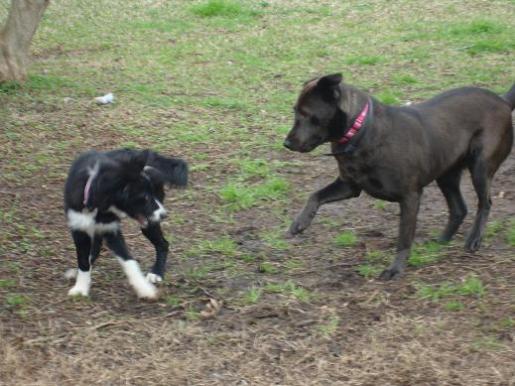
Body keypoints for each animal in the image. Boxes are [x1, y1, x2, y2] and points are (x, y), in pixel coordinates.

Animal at [62, 148, 187, 298]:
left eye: (151, 194)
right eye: (145, 197)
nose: (164, 215)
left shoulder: (111, 230)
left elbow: (129, 261)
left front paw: (145, 289)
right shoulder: (79, 229)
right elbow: (83, 260)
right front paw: (80, 287)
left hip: (149, 224)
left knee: (163, 244)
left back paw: (156, 272)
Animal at [284, 74, 512, 278]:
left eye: (306, 113)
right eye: (295, 111)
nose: (286, 143)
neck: (361, 131)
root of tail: (502, 100)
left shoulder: (410, 197)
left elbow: (403, 238)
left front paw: (395, 269)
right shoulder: (349, 186)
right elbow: (315, 195)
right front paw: (300, 222)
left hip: (480, 167)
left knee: (485, 203)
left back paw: (474, 239)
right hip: (446, 174)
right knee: (459, 208)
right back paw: (441, 240)